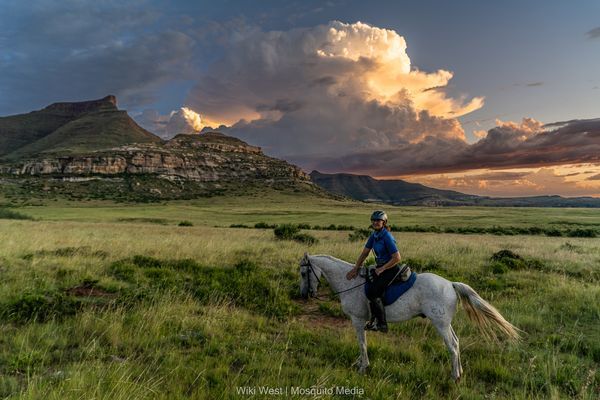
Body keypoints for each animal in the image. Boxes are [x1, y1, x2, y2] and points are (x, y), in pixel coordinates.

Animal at [299, 253, 520, 382]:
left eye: (303, 273)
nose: (304, 295)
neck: (349, 283)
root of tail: (450, 284)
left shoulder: (358, 320)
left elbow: (362, 343)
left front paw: (363, 367)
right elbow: (362, 343)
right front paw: (361, 364)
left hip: (440, 324)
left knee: (452, 346)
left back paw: (455, 377)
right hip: (445, 323)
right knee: (457, 342)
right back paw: (460, 372)